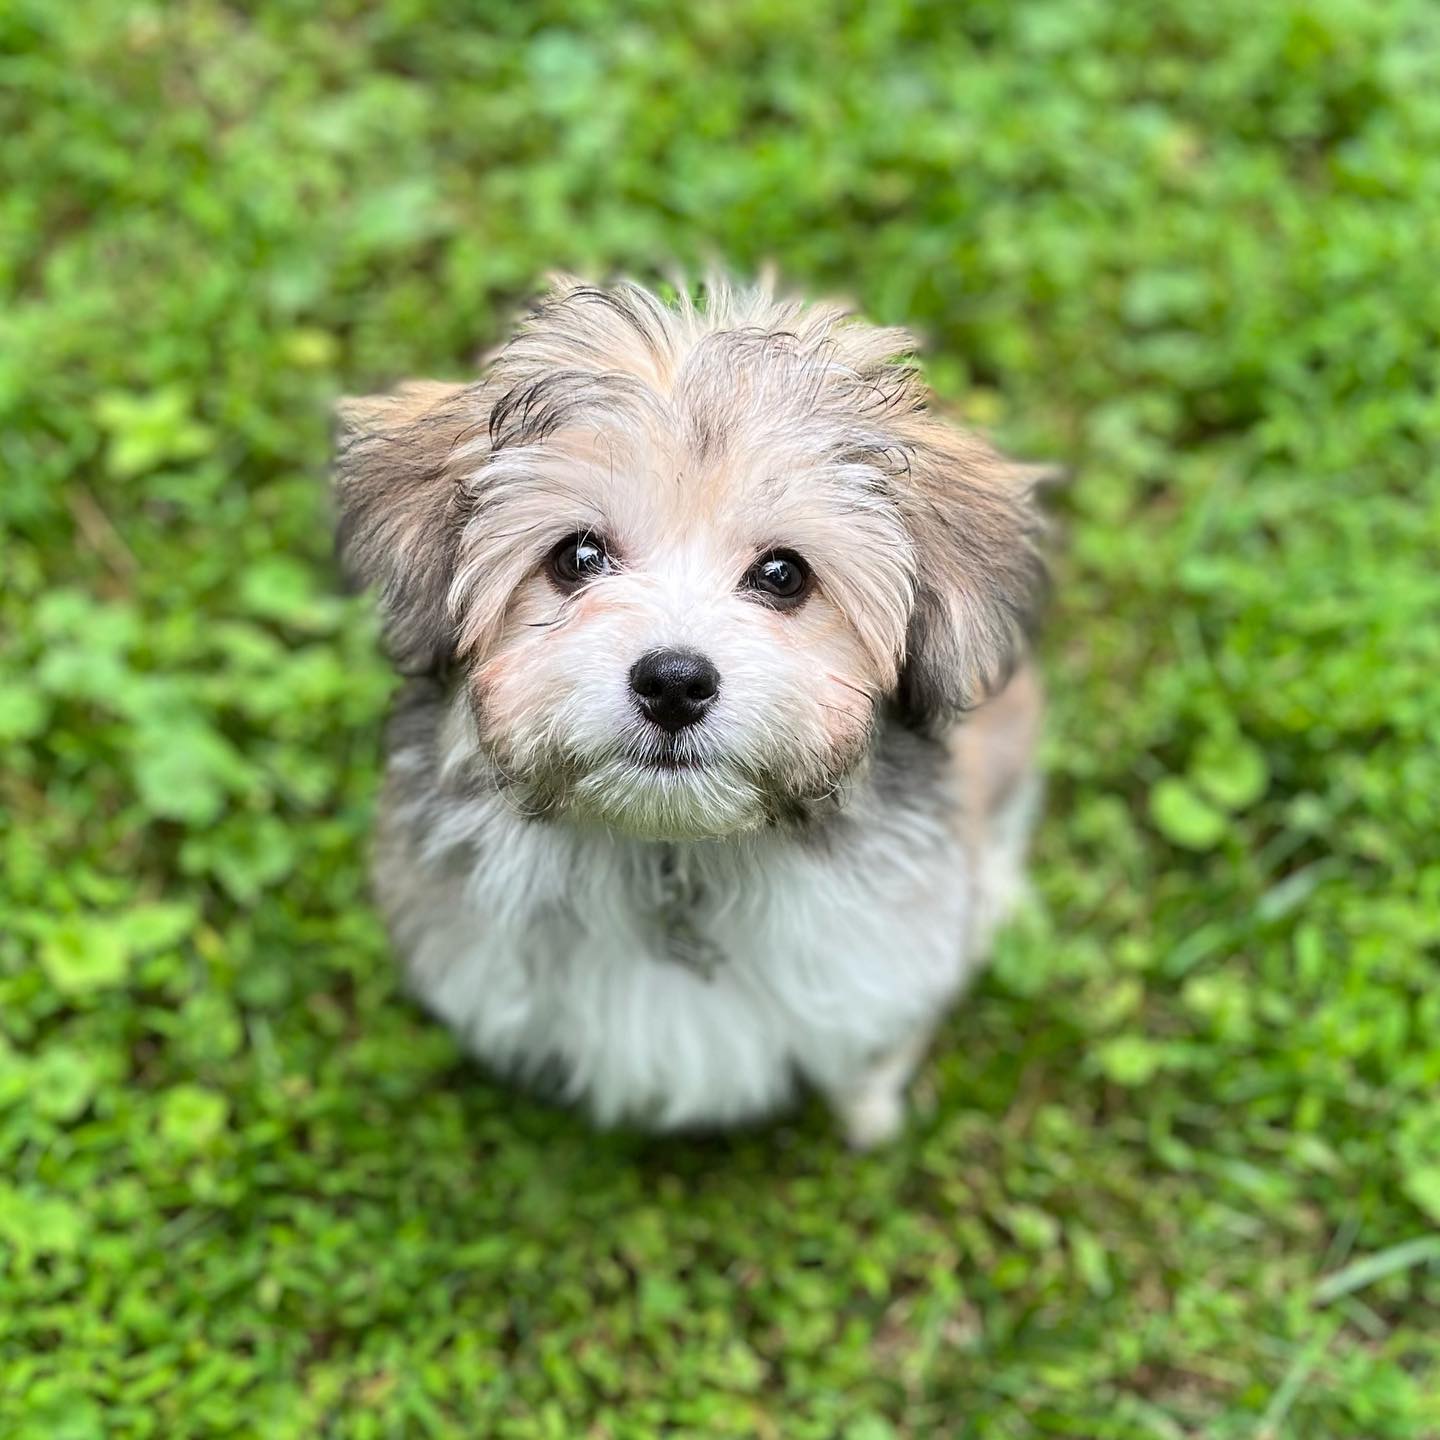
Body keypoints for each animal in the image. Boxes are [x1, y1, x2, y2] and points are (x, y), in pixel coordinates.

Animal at [331, 272, 1042, 1146]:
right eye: (577, 556)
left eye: (783, 575)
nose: (673, 681)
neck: (674, 854)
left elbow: (871, 1040)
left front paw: (870, 1113)